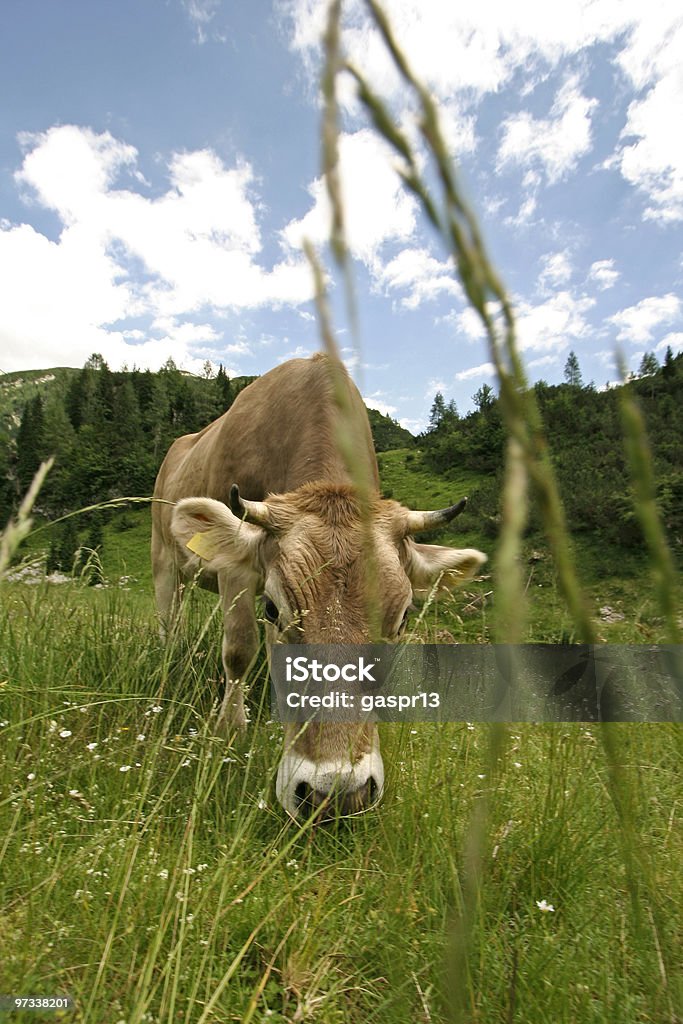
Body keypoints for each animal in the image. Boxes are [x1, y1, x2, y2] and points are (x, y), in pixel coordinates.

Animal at [153, 356, 485, 819]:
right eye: (273, 609)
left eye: (403, 618)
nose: (339, 794)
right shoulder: (237, 571)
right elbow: (238, 649)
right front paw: (230, 727)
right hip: (163, 556)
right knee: (169, 616)